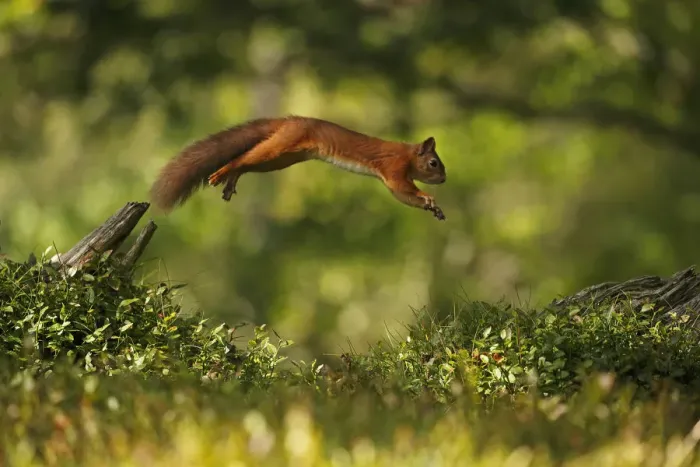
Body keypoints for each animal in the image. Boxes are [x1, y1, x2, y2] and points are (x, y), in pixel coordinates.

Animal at [149, 115, 447, 220]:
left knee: (247, 163)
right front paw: (428, 198)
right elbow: (402, 189)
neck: (408, 154)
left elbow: (403, 196)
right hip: (280, 148)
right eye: (434, 163)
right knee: (241, 158)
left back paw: (231, 179)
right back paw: (222, 173)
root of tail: (288, 120)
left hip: (281, 160)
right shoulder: (394, 168)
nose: (444, 179)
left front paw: (433, 207)